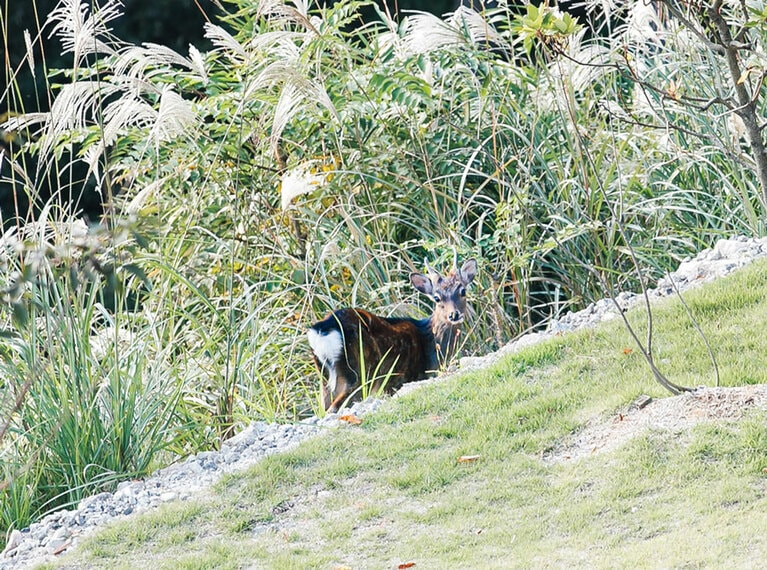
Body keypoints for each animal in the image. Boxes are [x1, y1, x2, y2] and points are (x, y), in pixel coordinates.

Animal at [307, 255, 478, 412]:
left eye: (463, 291)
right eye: (437, 297)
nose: (454, 315)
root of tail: (322, 329)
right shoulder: (407, 378)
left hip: (325, 377)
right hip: (358, 372)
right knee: (335, 407)